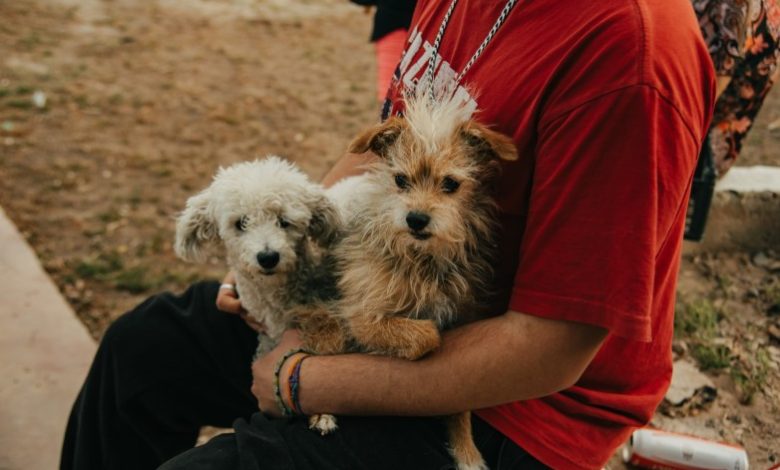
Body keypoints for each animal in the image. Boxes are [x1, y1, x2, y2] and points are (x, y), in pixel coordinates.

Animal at [324, 94, 518, 470]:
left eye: (451, 184)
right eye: (400, 180)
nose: (416, 219)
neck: (423, 261)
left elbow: (460, 401)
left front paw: (467, 451)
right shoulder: (362, 316)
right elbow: (427, 335)